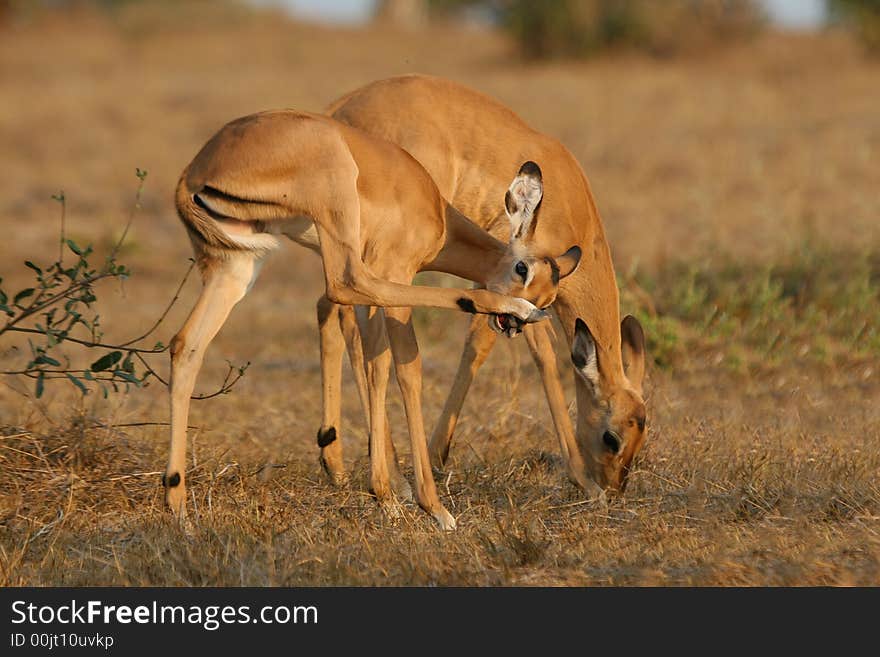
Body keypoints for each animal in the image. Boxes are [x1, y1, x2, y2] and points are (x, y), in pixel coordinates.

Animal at [162, 107, 572, 528]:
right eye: (522, 269)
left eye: (552, 293)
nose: (518, 325)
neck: (435, 211)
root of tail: (195, 171)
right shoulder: (395, 273)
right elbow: (407, 370)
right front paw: (430, 505)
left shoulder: (374, 293)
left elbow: (376, 366)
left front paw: (387, 496)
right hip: (331, 221)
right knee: (342, 284)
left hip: (237, 267)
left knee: (186, 344)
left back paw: (178, 507)